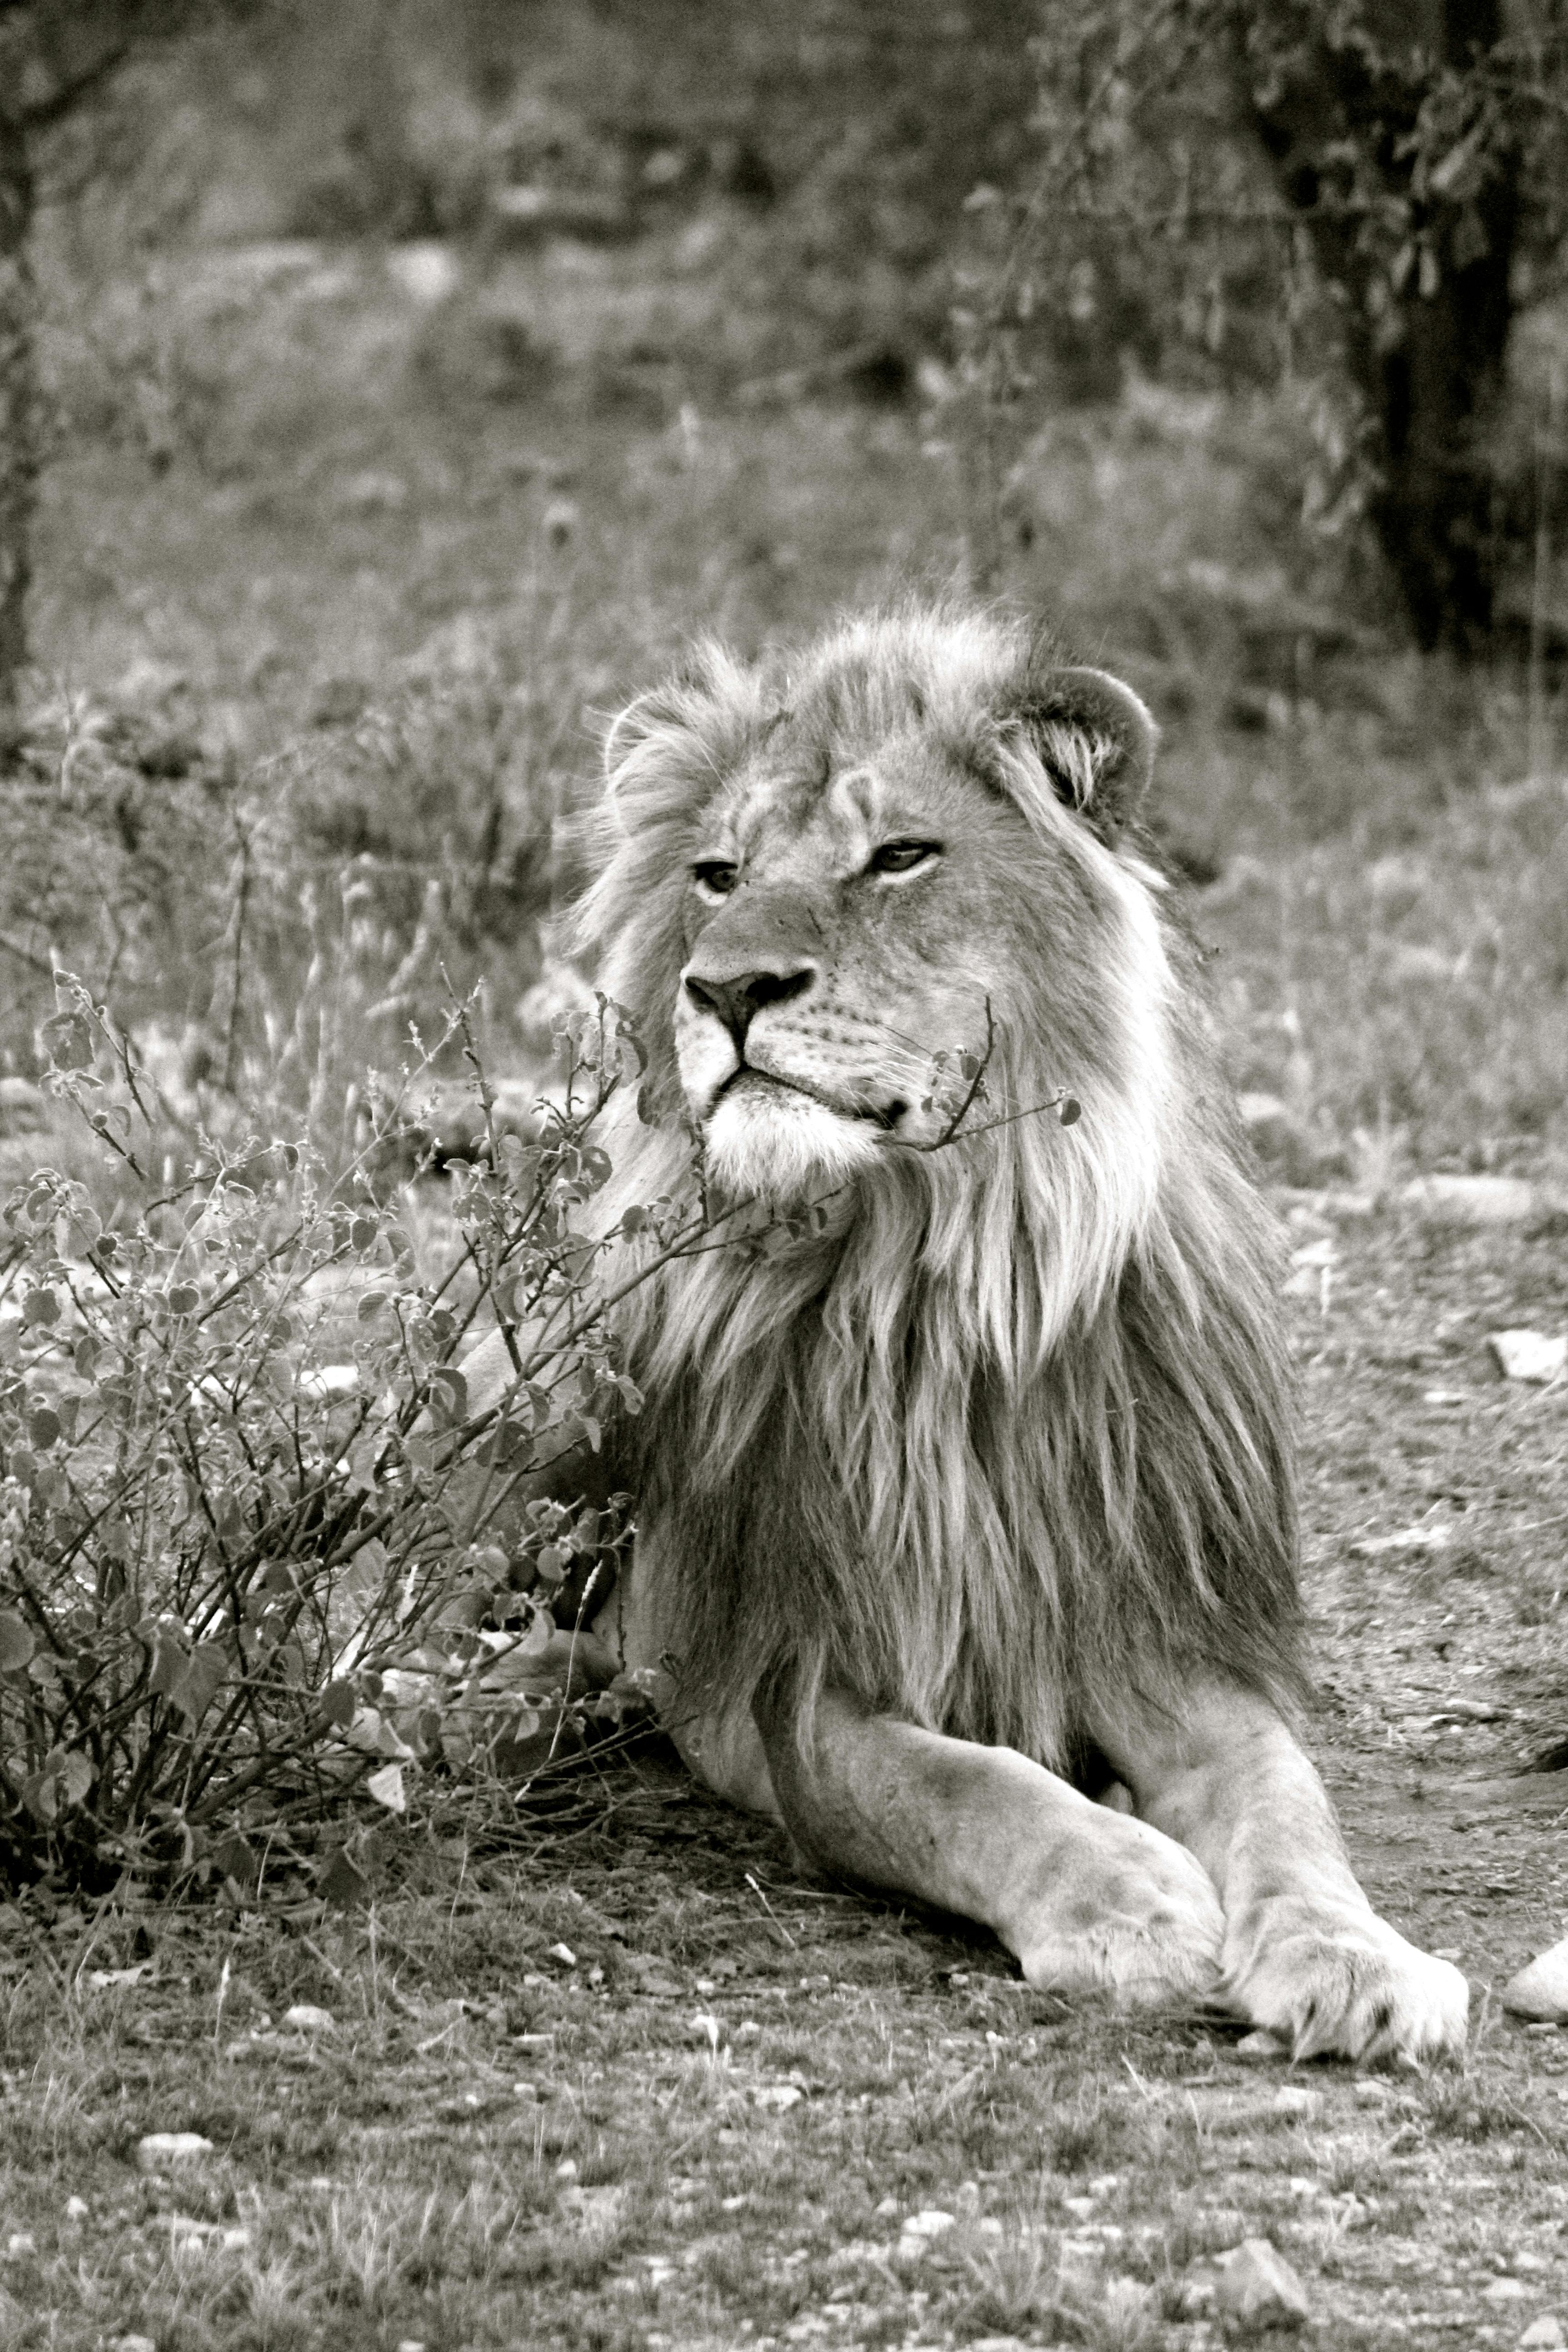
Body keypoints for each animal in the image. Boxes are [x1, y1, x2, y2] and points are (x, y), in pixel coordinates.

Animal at [465, 602, 1476, 2060]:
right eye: (717, 874)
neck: (929, 1276)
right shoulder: (775, 1676)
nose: (727, 990)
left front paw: (1357, 1959)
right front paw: (1127, 1900)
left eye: (899, 856)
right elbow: (952, 1786)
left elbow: (1289, 1801)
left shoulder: (1151, 1624)